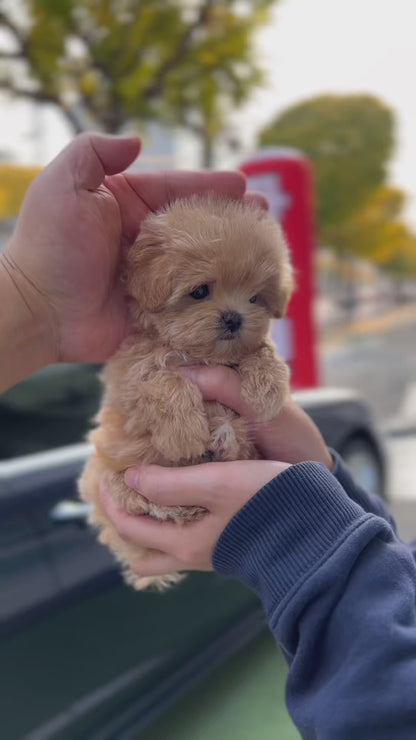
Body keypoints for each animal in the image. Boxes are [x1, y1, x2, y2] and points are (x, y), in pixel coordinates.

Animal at [78, 192, 292, 588]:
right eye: (200, 291)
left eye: (255, 298)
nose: (234, 318)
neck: (202, 355)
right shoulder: (131, 371)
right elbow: (162, 380)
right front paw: (184, 433)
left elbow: (262, 349)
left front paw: (268, 388)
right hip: (102, 472)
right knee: (125, 494)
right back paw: (172, 504)